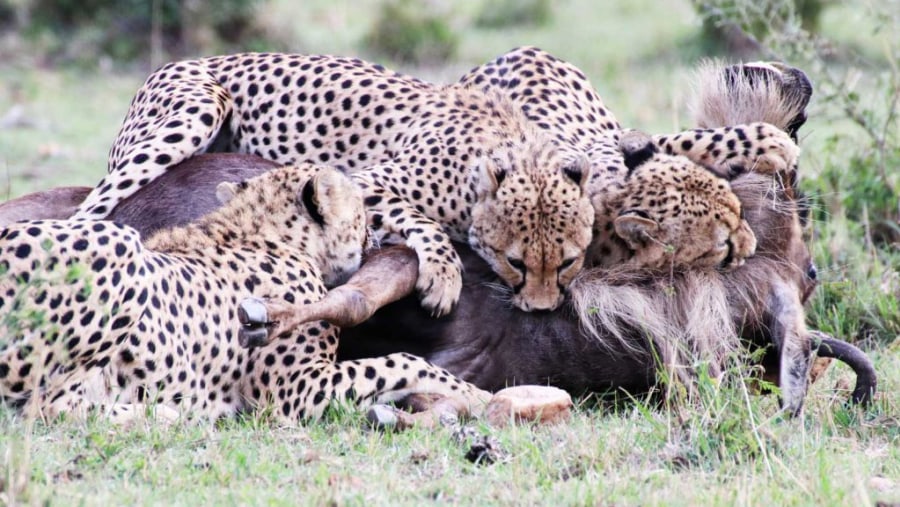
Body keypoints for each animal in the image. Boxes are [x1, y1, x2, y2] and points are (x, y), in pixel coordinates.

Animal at [0, 164, 488, 424]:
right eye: (362, 213)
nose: (376, 238)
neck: (263, 233)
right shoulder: (294, 393)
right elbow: (402, 362)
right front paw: (475, 395)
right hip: (117, 242)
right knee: (47, 410)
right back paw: (167, 414)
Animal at [72, 52, 596, 314]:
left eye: (569, 262)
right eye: (515, 263)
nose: (542, 310)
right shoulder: (361, 183)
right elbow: (424, 223)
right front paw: (444, 277)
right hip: (194, 113)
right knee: (87, 213)